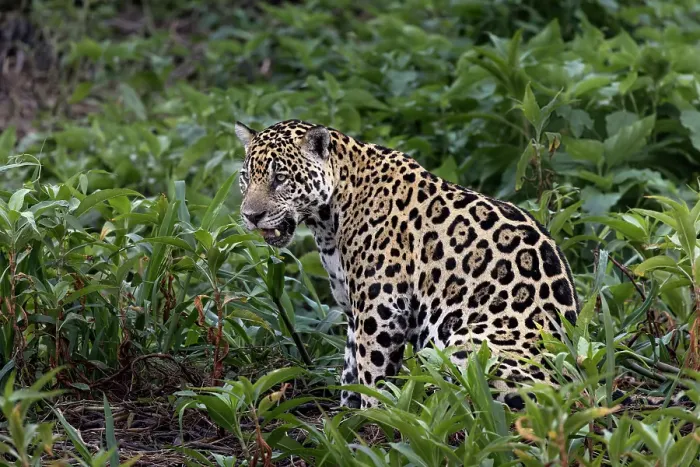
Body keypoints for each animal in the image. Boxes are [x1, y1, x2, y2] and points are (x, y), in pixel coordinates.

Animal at [235, 119, 579, 410]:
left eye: (281, 178)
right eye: (246, 178)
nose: (251, 216)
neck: (327, 222)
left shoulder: (381, 310)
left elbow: (372, 372)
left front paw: (377, 419)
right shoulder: (353, 310)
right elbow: (350, 368)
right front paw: (347, 417)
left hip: (469, 345)